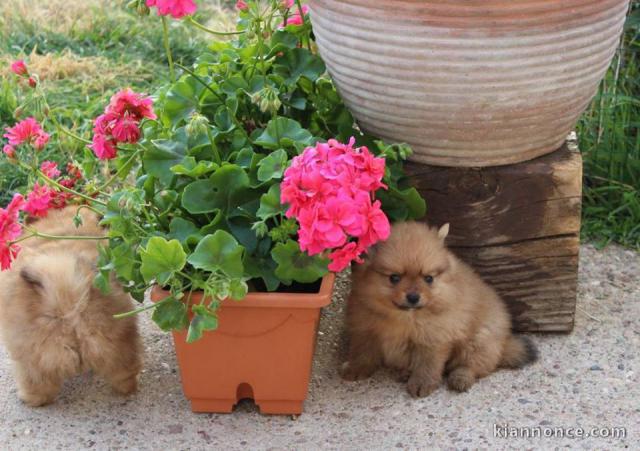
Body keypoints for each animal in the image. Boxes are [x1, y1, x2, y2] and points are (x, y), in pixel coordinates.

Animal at [342, 222, 536, 400]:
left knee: (474, 365)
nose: (413, 297)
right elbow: (362, 352)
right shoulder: (365, 329)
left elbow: (427, 365)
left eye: (428, 279)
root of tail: (504, 344)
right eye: (394, 278)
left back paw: (460, 378)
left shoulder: (434, 338)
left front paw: (422, 383)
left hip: (480, 340)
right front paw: (355, 368)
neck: (404, 318)